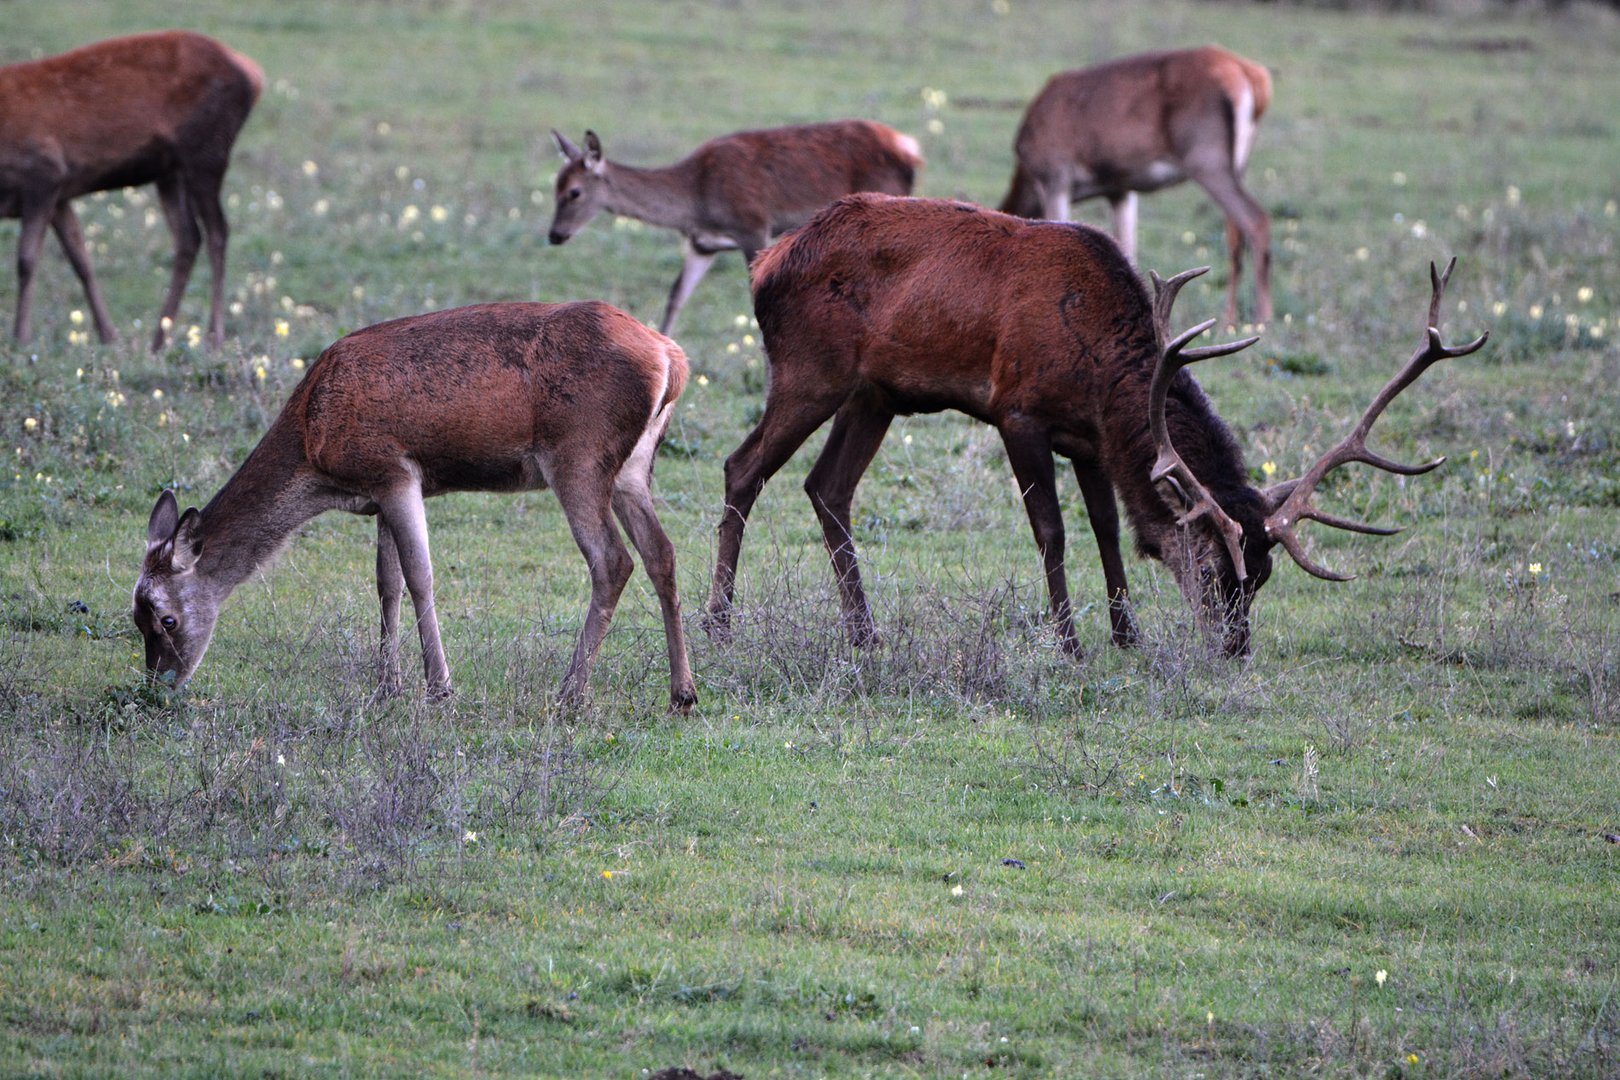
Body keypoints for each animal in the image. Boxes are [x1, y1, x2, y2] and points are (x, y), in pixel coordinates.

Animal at [0, 30, 262, 351]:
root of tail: (252, 75)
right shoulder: (61, 195)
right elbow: (81, 259)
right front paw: (108, 335)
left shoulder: (45, 171)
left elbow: (26, 260)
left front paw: (20, 339)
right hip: (171, 171)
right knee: (189, 237)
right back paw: (158, 340)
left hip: (207, 151)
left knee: (218, 232)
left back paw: (214, 337)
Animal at [131, 299, 696, 712]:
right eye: (135, 616)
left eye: (166, 619)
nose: (158, 686)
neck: (314, 450)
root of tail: (672, 360)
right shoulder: (379, 492)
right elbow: (388, 582)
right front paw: (388, 684)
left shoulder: (394, 468)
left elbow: (420, 575)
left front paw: (439, 686)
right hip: (631, 467)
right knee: (662, 553)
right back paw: (682, 693)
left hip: (578, 456)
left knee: (612, 560)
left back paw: (569, 693)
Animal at [547, 118, 920, 333]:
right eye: (554, 186)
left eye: (574, 192)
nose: (554, 235)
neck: (697, 199)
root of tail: (910, 148)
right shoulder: (701, 244)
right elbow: (676, 296)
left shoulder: (752, 224)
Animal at [703, 198, 1483, 663]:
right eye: (1211, 568)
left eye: (1262, 576)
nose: (1233, 649)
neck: (1102, 374)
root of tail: (765, 263)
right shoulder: (1018, 412)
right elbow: (1052, 530)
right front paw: (1070, 642)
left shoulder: (1090, 440)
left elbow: (1109, 527)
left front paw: (1126, 633)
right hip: (811, 368)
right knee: (743, 467)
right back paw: (718, 624)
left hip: (876, 393)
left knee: (826, 487)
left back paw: (866, 635)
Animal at [997, 47, 1276, 325]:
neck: (1027, 174)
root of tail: (1252, 77)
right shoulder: (1119, 189)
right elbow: (1127, 248)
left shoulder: (1055, 176)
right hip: (1236, 163)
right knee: (1236, 231)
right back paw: (1231, 319)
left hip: (1206, 158)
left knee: (1256, 219)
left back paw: (1260, 318)